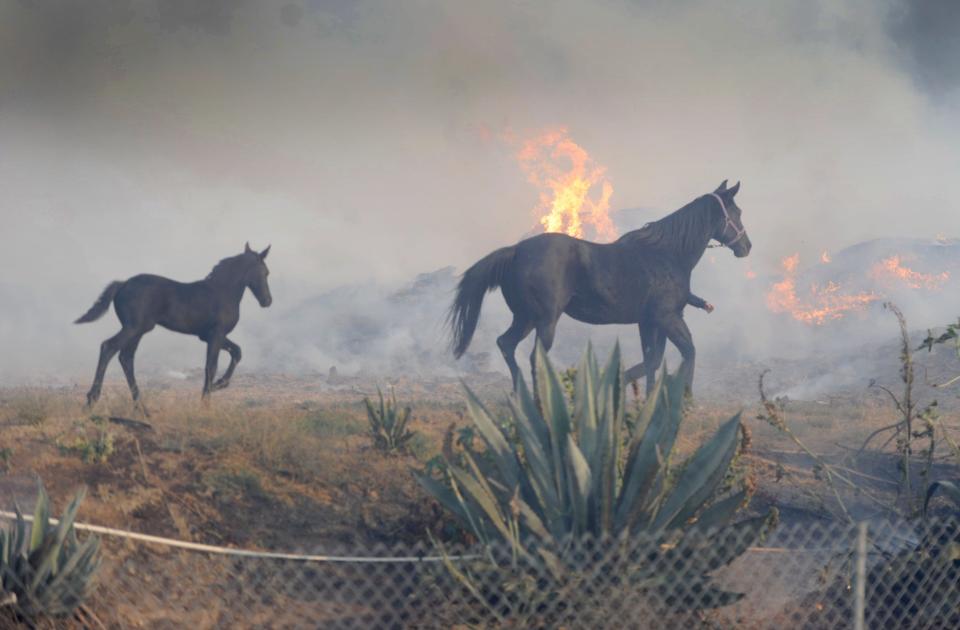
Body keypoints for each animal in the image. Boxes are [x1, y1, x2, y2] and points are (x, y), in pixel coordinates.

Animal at [72, 242, 270, 410]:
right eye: (266, 272)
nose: (267, 301)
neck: (222, 291)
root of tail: (123, 284)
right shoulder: (216, 335)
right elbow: (211, 367)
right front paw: (206, 403)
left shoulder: (208, 336)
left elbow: (236, 352)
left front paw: (219, 385)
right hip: (133, 328)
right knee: (108, 347)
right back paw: (92, 399)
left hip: (139, 330)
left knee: (126, 358)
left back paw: (141, 407)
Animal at [448, 180, 752, 392]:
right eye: (736, 212)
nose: (746, 247)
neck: (666, 254)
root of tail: (516, 251)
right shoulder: (669, 318)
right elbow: (687, 353)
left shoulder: (650, 321)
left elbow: (652, 361)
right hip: (544, 321)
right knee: (535, 359)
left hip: (525, 318)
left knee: (506, 344)